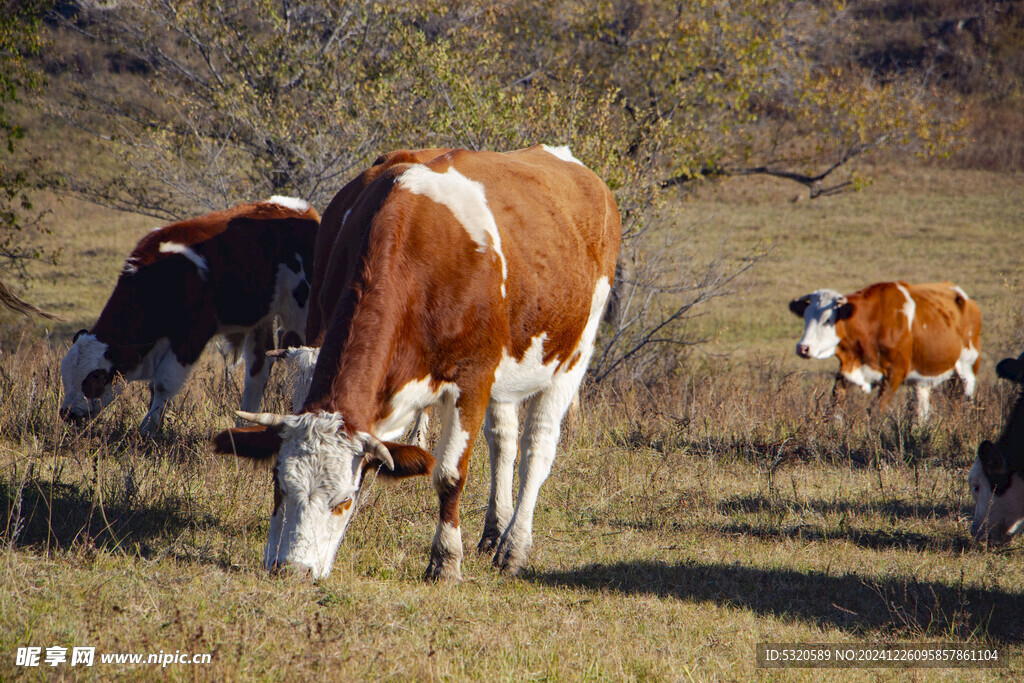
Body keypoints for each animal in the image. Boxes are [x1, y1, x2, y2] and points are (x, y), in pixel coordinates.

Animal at [61, 197, 317, 436]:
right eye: (64, 373)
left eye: (95, 376)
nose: (69, 413)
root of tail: (299, 208)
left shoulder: (192, 336)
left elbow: (163, 383)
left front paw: (148, 429)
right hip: (260, 319)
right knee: (258, 370)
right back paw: (242, 425)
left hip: (299, 311)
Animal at [211, 144, 618, 581]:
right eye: (279, 487)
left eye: (344, 500)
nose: (292, 569)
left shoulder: (472, 379)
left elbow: (450, 475)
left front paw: (445, 561)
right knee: (503, 441)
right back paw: (494, 531)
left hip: (574, 353)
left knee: (536, 449)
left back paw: (513, 547)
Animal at [786, 280, 978, 419]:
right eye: (806, 318)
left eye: (827, 320)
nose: (803, 348)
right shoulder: (848, 371)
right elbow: (836, 407)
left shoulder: (895, 374)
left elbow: (877, 411)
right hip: (922, 380)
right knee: (922, 410)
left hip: (967, 368)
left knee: (965, 400)